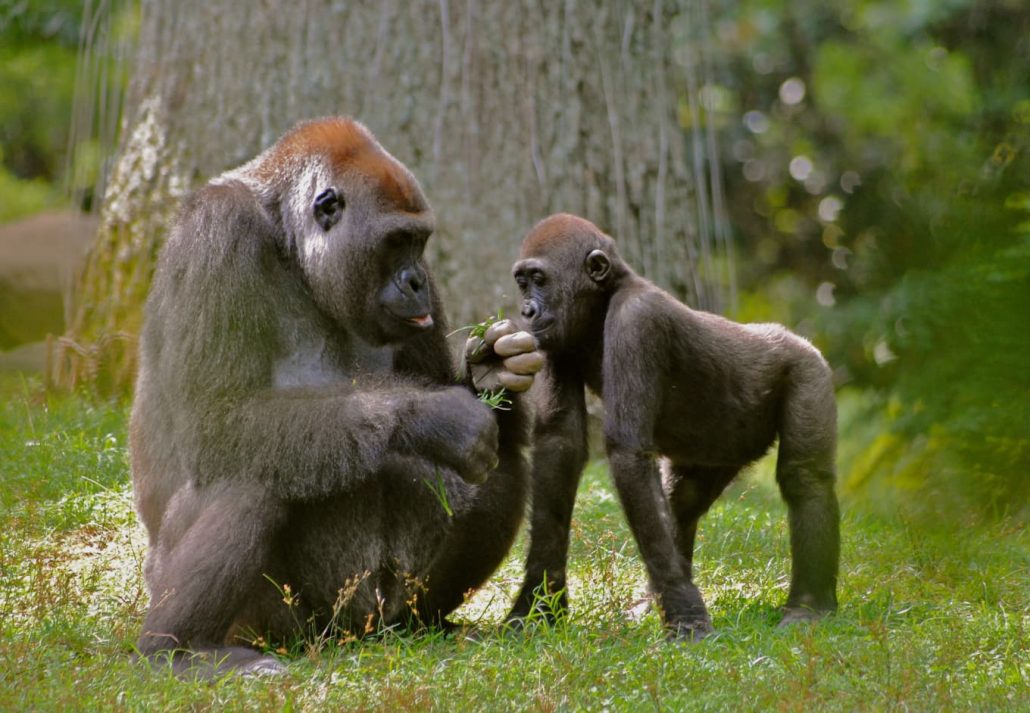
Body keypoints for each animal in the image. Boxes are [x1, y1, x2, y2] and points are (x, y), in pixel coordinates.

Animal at [130, 116, 539, 675]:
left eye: (419, 243)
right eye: (396, 241)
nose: (416, 282)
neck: (287, 240)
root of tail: (362, 633)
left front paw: (493, 374)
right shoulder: (218, 232)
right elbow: (219, 420)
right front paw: (436, 417)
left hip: (393, 609)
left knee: (506, 455)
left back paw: (433, 623)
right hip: (291, 627)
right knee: (247, 475)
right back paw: (177, 651)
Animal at [506, 214, 836, 638]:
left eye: (540, 279)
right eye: (522, 282)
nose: (527, 311)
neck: (606, 296)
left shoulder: (637, 320)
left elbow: (627, 453)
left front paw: (685, 613)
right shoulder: (554, 341)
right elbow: (559, 446)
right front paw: (538, 602)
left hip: (808, 367)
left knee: (805, 477)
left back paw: (810, 606)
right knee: (682, 499)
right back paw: (652, 601)